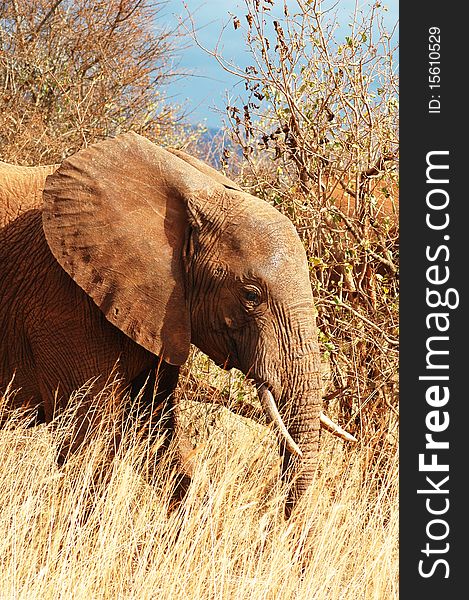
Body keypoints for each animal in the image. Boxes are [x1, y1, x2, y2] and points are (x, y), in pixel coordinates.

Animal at [0, 134, 352, 512]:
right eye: (251, 295)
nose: (277, 517)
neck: (195, 189)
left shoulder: (156, 315)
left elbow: (155, 432)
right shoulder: (63, 299)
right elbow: (89, 447)